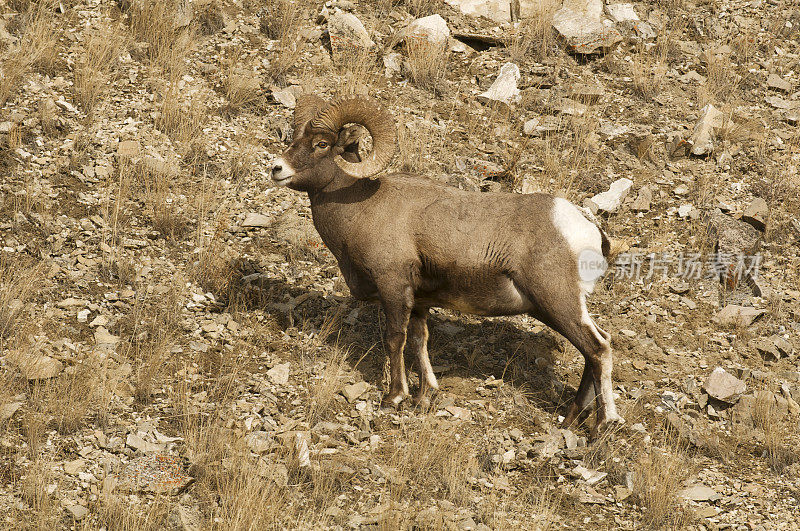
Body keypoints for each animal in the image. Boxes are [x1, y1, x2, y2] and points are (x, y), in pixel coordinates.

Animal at [272, 96, 620, 432]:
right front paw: (424, 397)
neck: (360, 208)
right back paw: (571, 419)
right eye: (293, 138)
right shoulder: (419, 302)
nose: (277, 168)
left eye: (320, 144)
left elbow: (395, 339)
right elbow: (419, 342)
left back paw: (603, 425)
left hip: (557, 302)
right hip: (558, 308)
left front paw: (394, 397)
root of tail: (589, 231)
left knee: (598, 349)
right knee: (593, 350)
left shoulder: (393, 287)